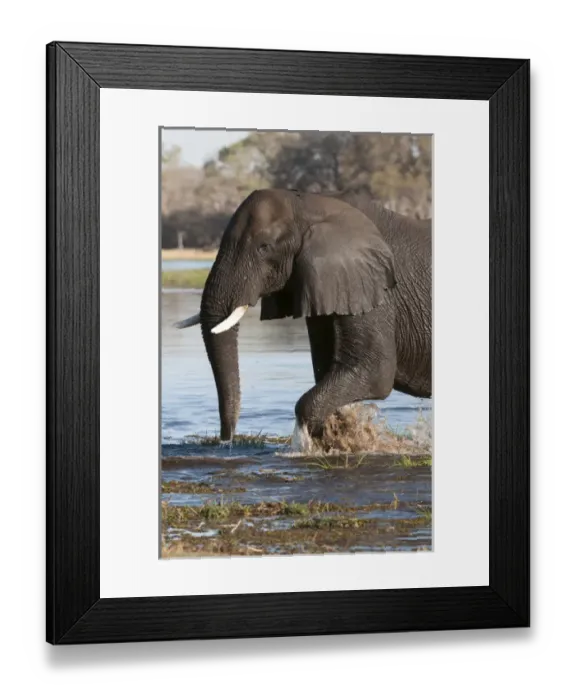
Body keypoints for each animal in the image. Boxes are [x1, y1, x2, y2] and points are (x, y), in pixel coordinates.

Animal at [175, 188, 431, 442]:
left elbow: (375, 371)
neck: (308, 204)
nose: (226, 439)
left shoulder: (373, 285)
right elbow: (327, 366)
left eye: (264, 247)